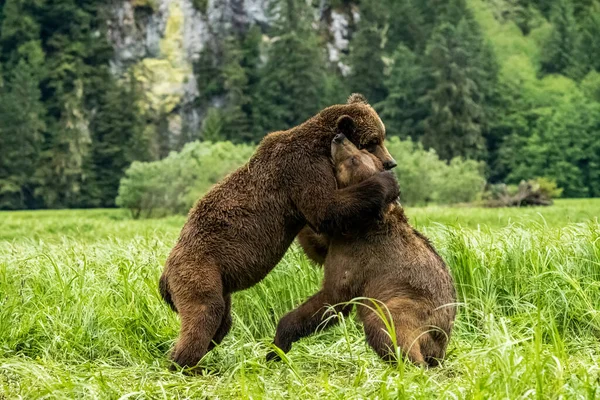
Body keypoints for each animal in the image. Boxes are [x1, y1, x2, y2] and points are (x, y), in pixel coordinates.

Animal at [159, 94, 398, 368]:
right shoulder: (301, 168)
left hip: (217, 281)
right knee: (204, 315)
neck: (321, 147)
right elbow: (325, 209)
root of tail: (164, 275)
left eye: (381, 136)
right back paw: (182, 364)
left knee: (220, 323)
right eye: (372, 142)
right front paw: (387, 183)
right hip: (198, 270)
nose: (390, 162)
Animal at [270, 136, 458, 368]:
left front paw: (278, 343)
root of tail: (441, 346)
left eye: (353, 159)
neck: (362, 223)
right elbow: (317, 246)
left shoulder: (357, 253)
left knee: (386, 328)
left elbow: (333, 297)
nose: (339, 137)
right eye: (363, 150)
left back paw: (409, 363)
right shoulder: (340, 236)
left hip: (408, 306)